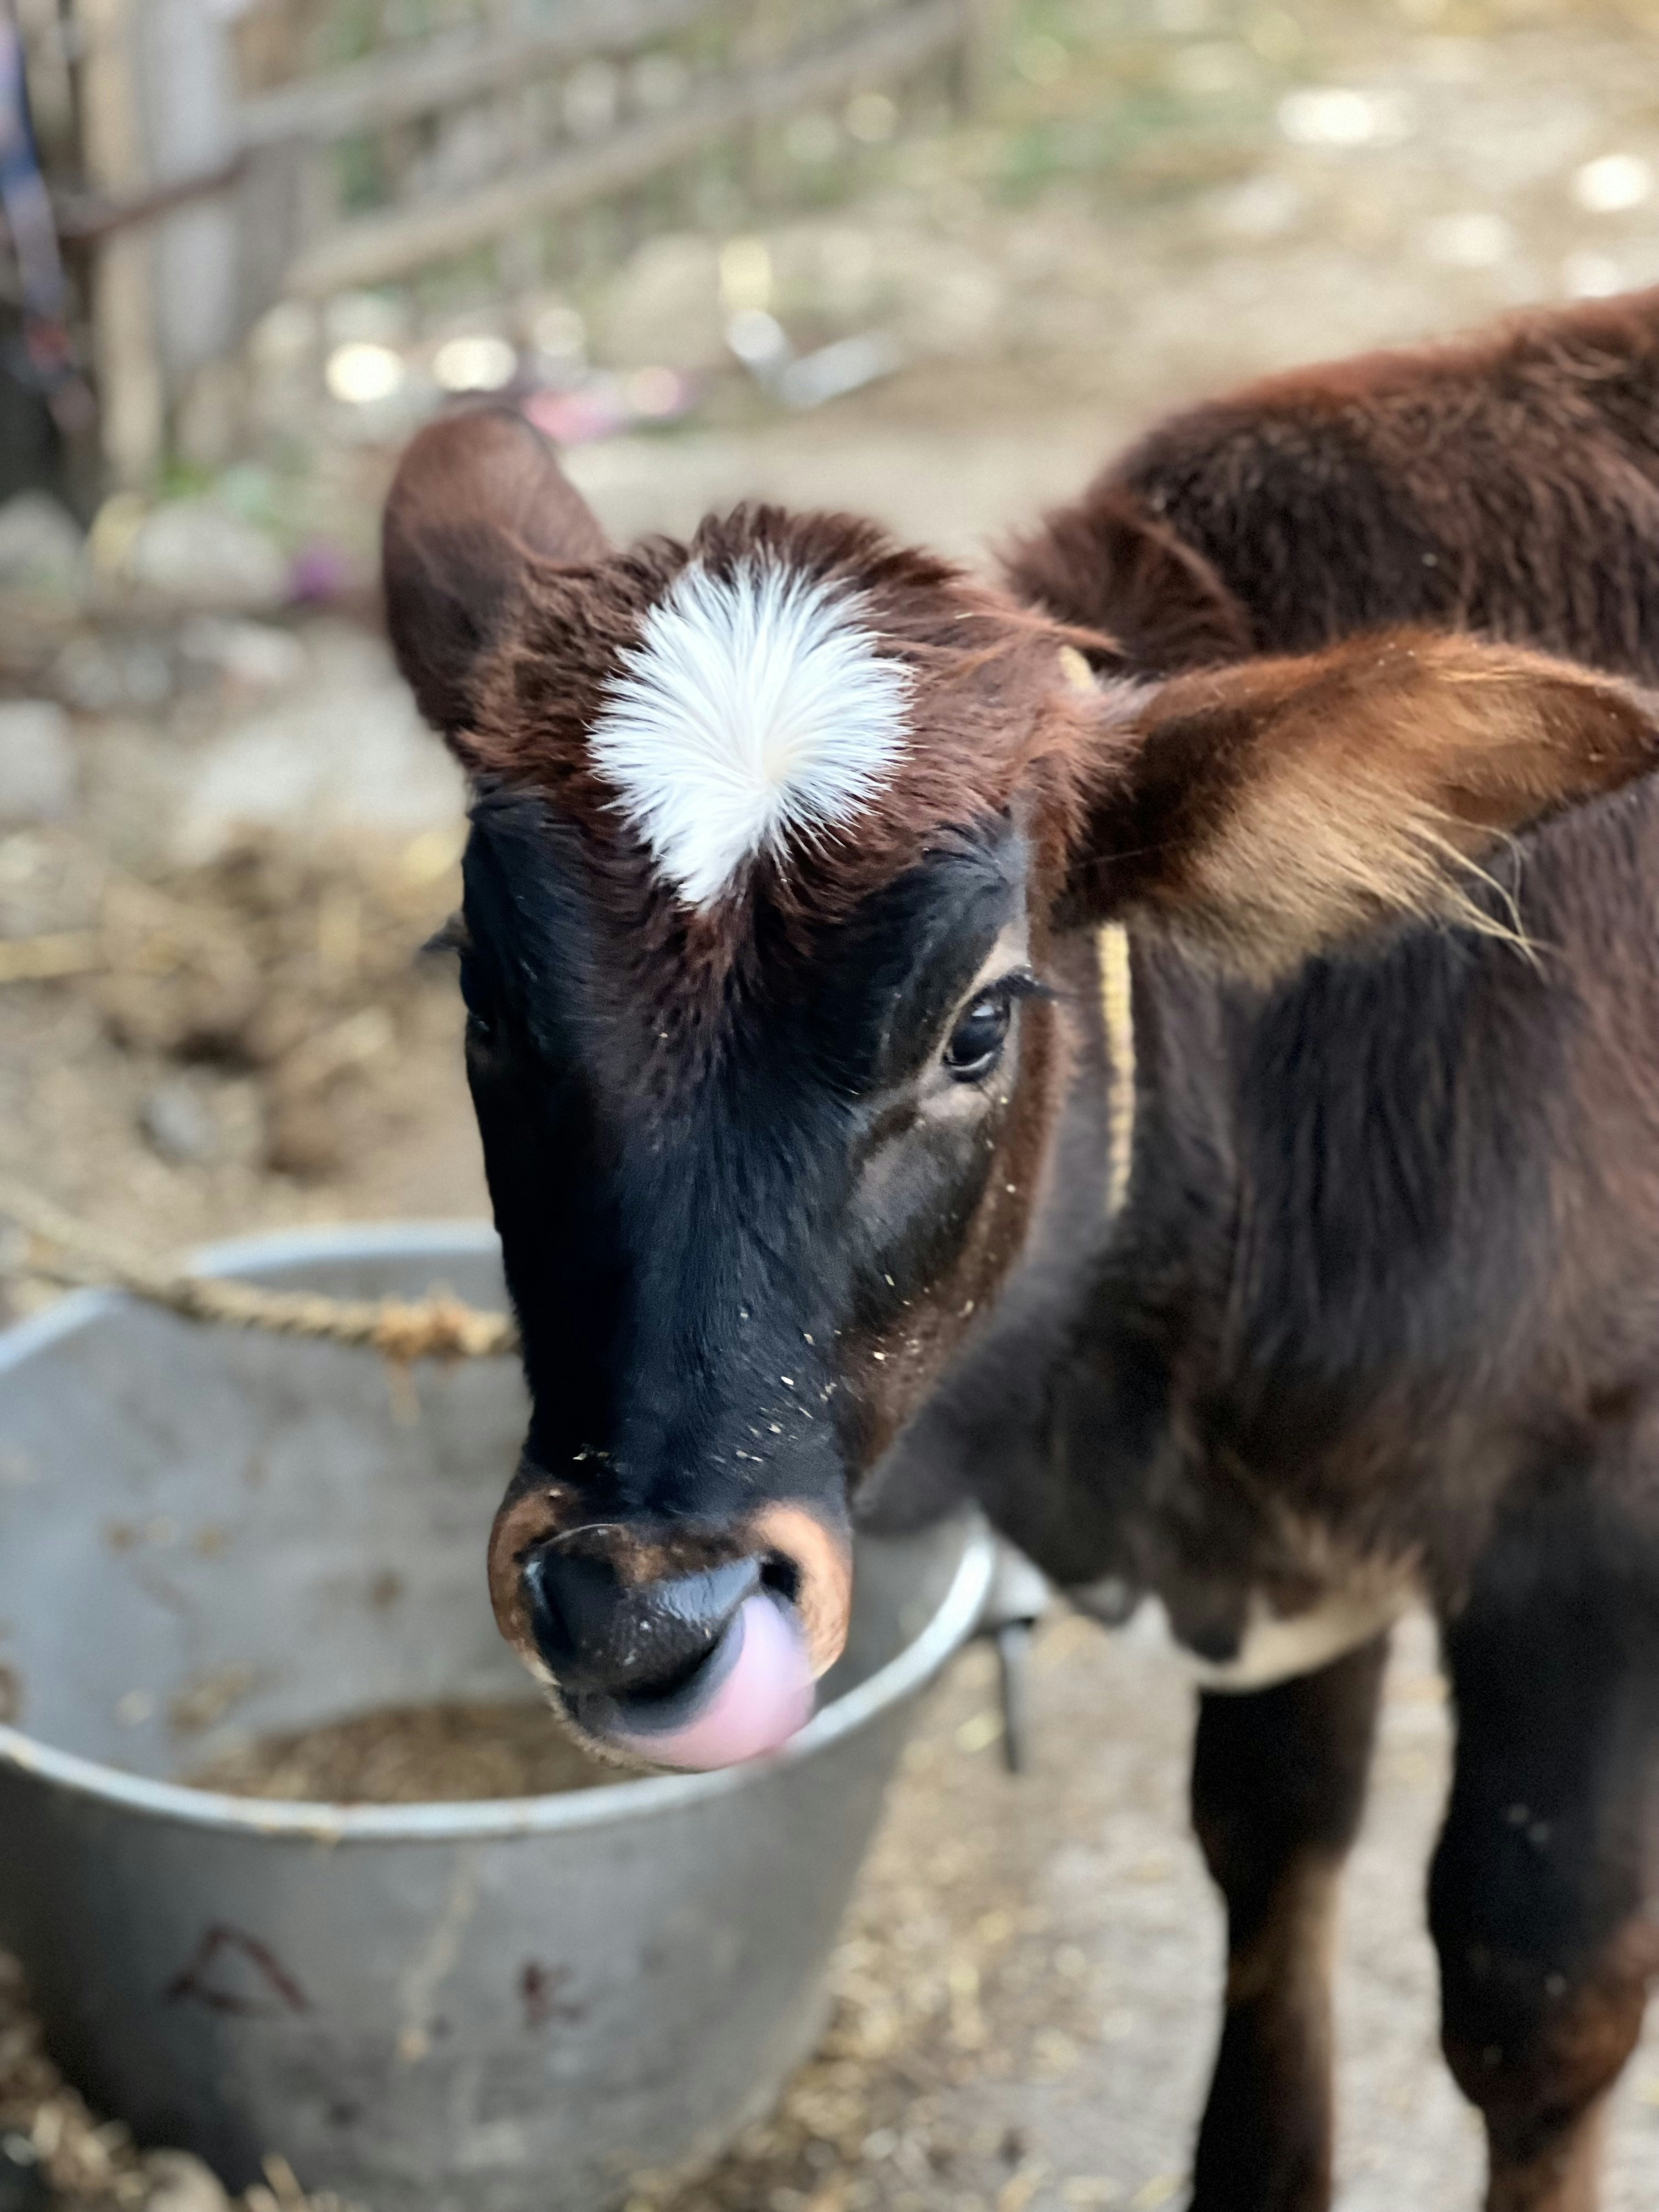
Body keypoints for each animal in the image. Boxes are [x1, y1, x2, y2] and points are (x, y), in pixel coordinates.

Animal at [381, 286, 1659, 2212]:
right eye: (481, 995)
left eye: (979, 1025)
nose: (638, 1604)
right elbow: (1272, 1841)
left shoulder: (1593, 1517)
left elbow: (1537, 1992)